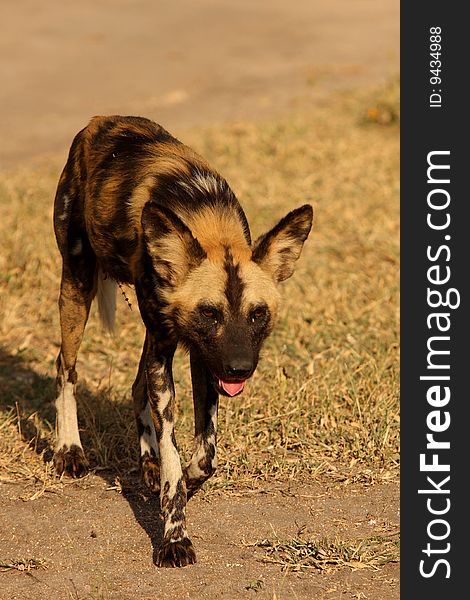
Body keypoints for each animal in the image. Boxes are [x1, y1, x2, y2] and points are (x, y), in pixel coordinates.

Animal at [53, 116, 314, 568]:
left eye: (258, 314)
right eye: (210, 313)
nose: (240, 369)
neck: (208, 222)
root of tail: (97, 123)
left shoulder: (202, 356)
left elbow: (204, 455)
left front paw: (184, 483)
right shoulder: (176, 349)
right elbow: (175, 456)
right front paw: (175, 537)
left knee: (136, 385)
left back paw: (147, 461)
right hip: (78, 287)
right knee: (65, 369)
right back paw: (70, 450)